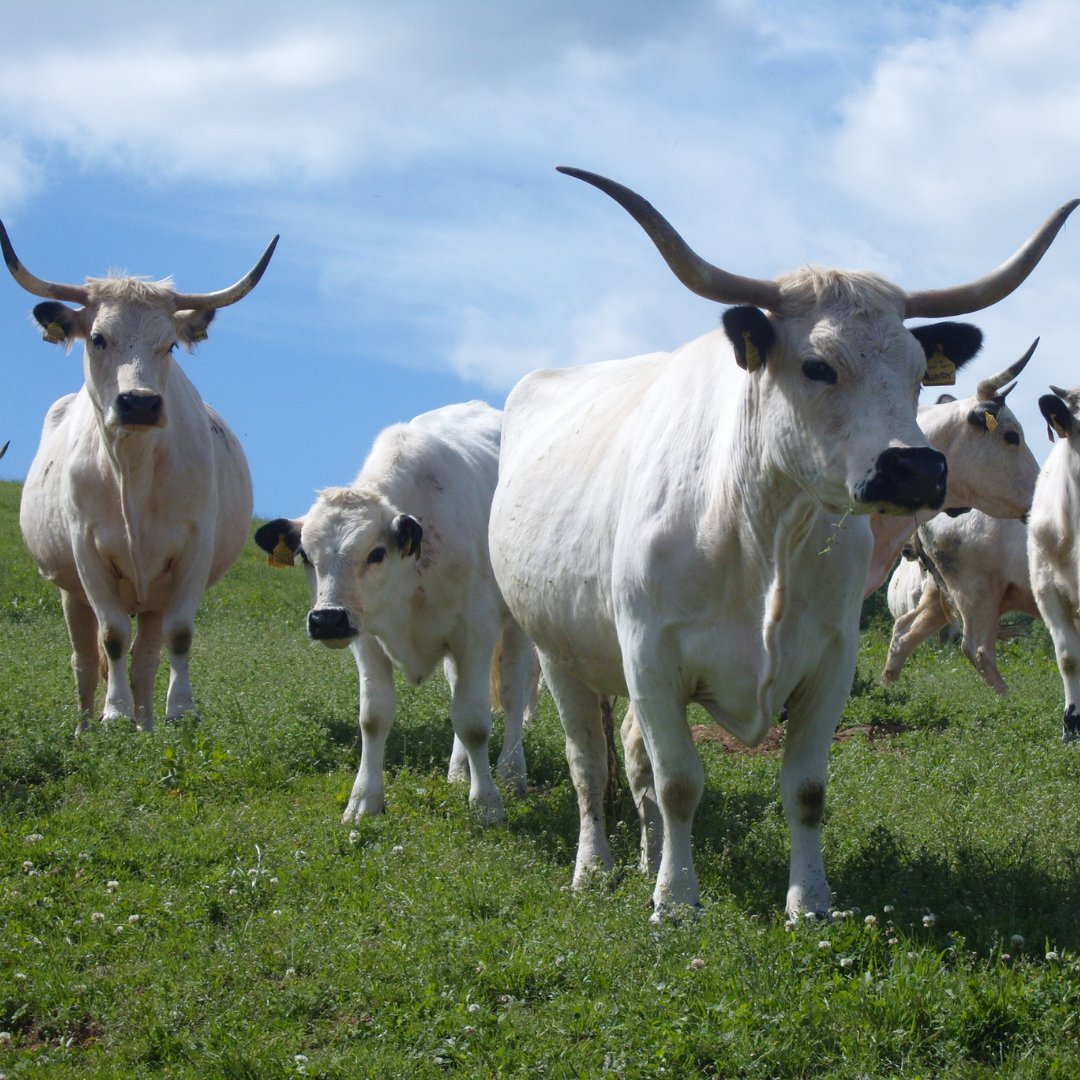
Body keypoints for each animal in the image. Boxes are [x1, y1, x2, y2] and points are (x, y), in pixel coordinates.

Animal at [2, 221, 276, 735]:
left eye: (169, 345)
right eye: (97, 338)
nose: (140, 403)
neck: (133, 470)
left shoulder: (193, 549)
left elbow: (179, 636)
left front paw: (180, 710)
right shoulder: (87, 554)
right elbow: (111, 637)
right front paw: (113, 715)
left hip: (152, 596)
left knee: (146, 655)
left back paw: (145, 726)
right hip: (71, 592)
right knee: (85, 657)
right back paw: (86, 729)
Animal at [254, 401, 538, 824]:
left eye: (376, 553)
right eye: (305, 555)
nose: (327, 619)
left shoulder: (476, 632)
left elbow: (474, 721)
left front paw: (487, 803)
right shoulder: (367, 639)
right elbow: (374, 717)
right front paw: (364, 800)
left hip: (514, 629)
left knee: (512, 696)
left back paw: (512, 772)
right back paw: (459, 770)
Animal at [881, 511, 1038, 694]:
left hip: (939, 594)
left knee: (904, 630)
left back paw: (888, 686)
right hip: (976, 591)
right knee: (977, 649)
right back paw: (1008, 697)